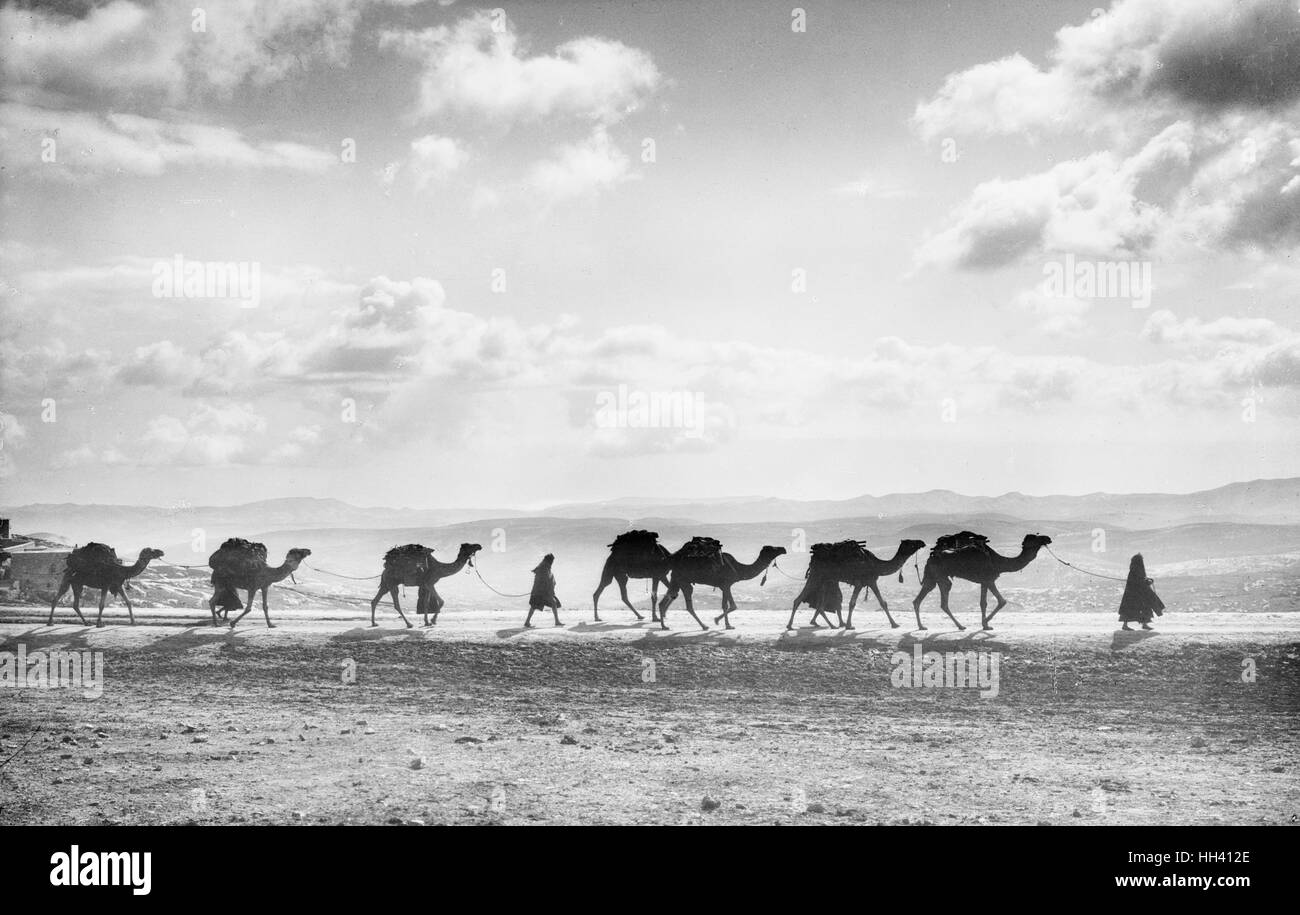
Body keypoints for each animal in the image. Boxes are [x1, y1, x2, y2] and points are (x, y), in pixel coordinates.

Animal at [658, 540, 786, 631]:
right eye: (772, 548)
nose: (783, 549)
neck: (739, 569)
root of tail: (673, 561)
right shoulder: (726, 584)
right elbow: (733, 606)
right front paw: (717, 621)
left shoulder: (724, 586)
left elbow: (725, 605)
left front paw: (727, 625)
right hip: (683, 581)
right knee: (688, 604)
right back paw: (704, 626)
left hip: (676, 580)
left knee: (664, 601)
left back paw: (664, 626)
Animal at [788, 539, 927, 631]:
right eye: (911, 542)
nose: (922, 542)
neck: (876, 564)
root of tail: (814, 554)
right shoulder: (863, 582)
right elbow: (853, 603)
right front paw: (849, 626)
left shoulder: (869, 581)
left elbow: (882, 603)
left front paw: (894, 624)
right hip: (816, 575)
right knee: (800, 599)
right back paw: (790, 626)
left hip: (825, 579)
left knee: (819, 604)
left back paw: (830, 625)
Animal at [912, 533, 1052, 631]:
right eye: (1035, 538)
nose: (1048, 538)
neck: (998, 562)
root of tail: (930, 557)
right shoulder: (989, 579)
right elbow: (1001, 601)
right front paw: (985, 624)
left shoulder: (984, 582)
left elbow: (983, 603)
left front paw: (985, 625)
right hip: (940, 577)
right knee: (943, 601)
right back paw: (960, 626)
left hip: (931, 578)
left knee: (918, 599)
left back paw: (922, 626)